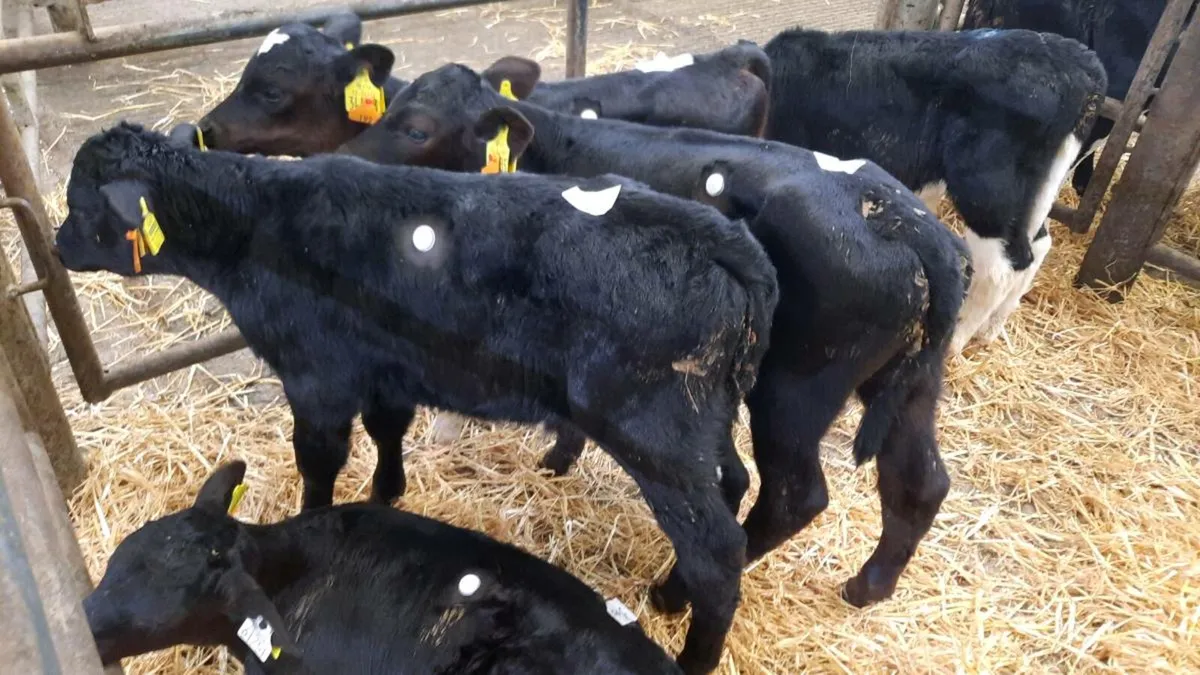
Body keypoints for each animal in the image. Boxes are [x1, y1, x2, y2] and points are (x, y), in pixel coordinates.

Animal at [337, 59, 971, 623]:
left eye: (416, 129)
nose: (347, 165)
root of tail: (902, 219)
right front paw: (557, 459)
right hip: (911, 381)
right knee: (919, 480)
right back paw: (867, 586)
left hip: (795, 391)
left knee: (792, 497)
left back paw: (675, 593)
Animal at [752, 27, 1106, 354]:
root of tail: (1078, 60)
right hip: (1034, 194)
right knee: (1037, 247)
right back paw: (991, 329)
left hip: (988, 191)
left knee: (1002, 267)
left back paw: (957, 342)